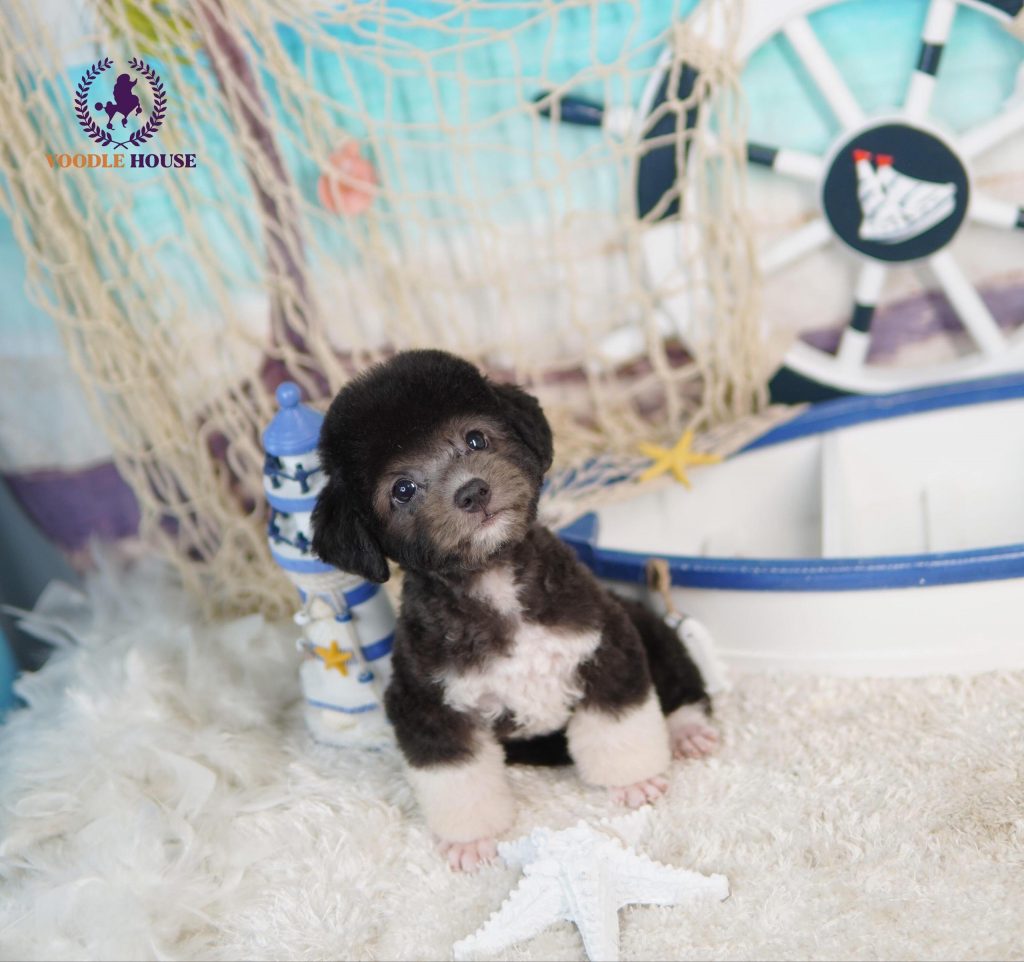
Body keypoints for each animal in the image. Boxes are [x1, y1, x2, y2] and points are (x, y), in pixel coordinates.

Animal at [312, 350, 717, 871]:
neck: (494, 580)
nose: (472, 492)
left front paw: (634, 779)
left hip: (641, 620)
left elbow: (620, 725)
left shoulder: (605, 646)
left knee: (677, 676)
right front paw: (470, 840)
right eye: (402, 489)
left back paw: (687, 729)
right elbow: (458, 778)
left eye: (475, 439)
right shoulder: (428, 704)